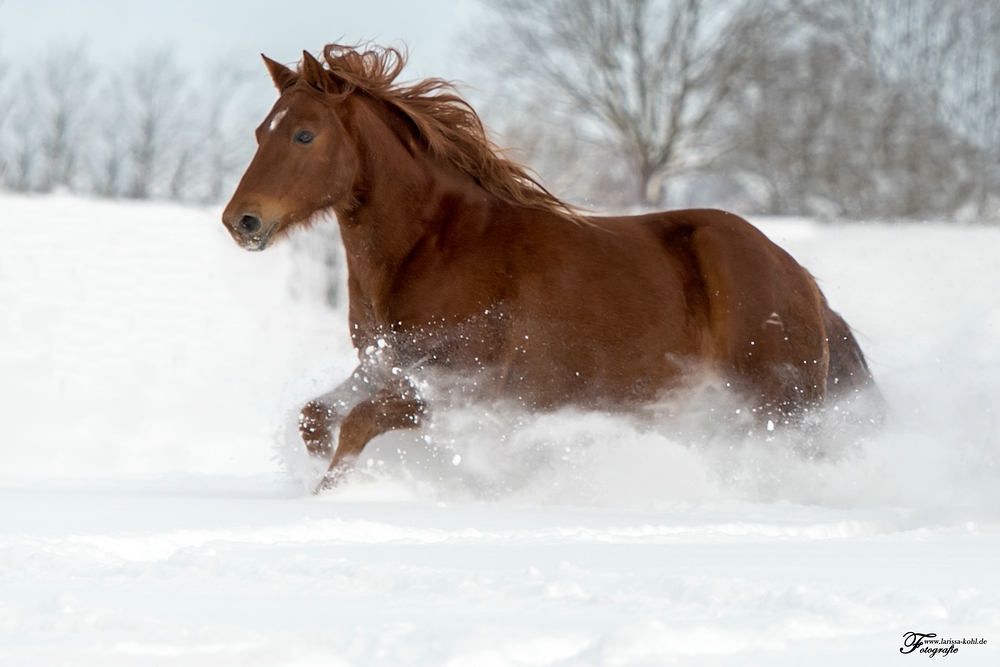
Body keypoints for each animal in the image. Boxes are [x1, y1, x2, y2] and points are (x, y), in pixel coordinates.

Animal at [221, 43, 876, 490]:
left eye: (305, 135)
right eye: (258, 132)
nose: (241, 221)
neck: (434, 246)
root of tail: (803, 282)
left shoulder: (459, 391)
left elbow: (355, 425)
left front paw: (331, 493)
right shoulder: (388, 368)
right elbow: (314, 417)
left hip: (779, 407)